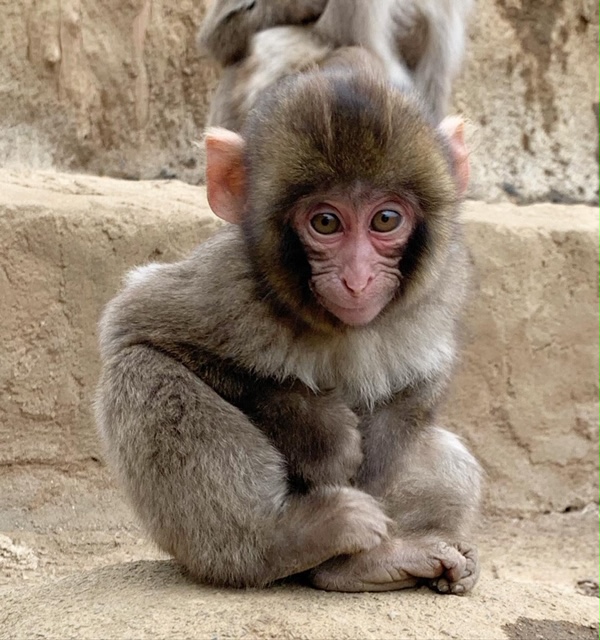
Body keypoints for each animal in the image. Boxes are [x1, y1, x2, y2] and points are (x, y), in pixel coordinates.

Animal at [97, 52, 482, 592]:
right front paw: (320, 435)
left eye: (386, 220)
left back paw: (369, 562)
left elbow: (421, 382)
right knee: (142, 369)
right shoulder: (229, 283)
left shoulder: (442, 284)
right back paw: (288, 542)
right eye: (325, 222)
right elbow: (134, 327)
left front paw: (374, 463)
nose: (358, 278)